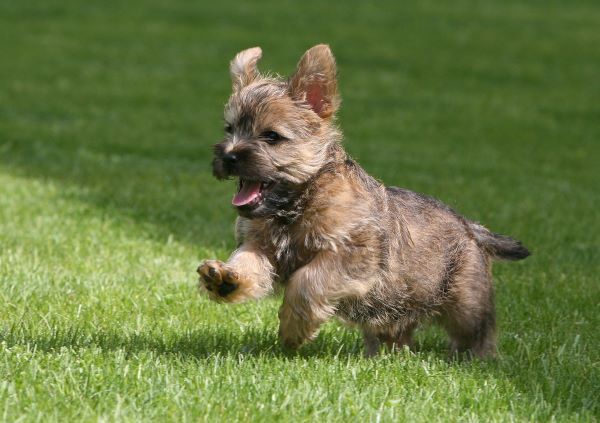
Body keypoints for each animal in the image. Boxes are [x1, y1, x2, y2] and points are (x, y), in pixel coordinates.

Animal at [197, 44, 528, 358]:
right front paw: (225, 278)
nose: (228, 156)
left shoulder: (353, 255)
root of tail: (470, 228)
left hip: (466, 302)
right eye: (229, 129)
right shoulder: (259, 243)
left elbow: (308, 280)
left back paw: (475, 360)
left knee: (477, 333)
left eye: (272, 137)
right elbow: (248, 260)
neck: (297, 204)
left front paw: (293, 329)